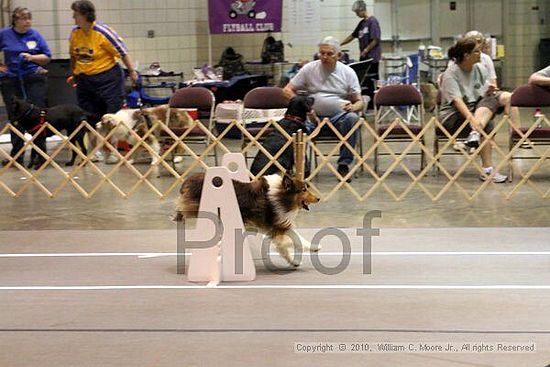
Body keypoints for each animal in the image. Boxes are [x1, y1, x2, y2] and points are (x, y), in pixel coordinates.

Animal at [177, 172, 322, 268]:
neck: (281, 196)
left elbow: (289, 243)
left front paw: (294, 261)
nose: (319, 198)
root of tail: (189, 180)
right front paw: (312, 248)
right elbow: (295, 240)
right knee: (184, 210)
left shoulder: (278, 226)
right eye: (303, 189)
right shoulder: (278, 227)